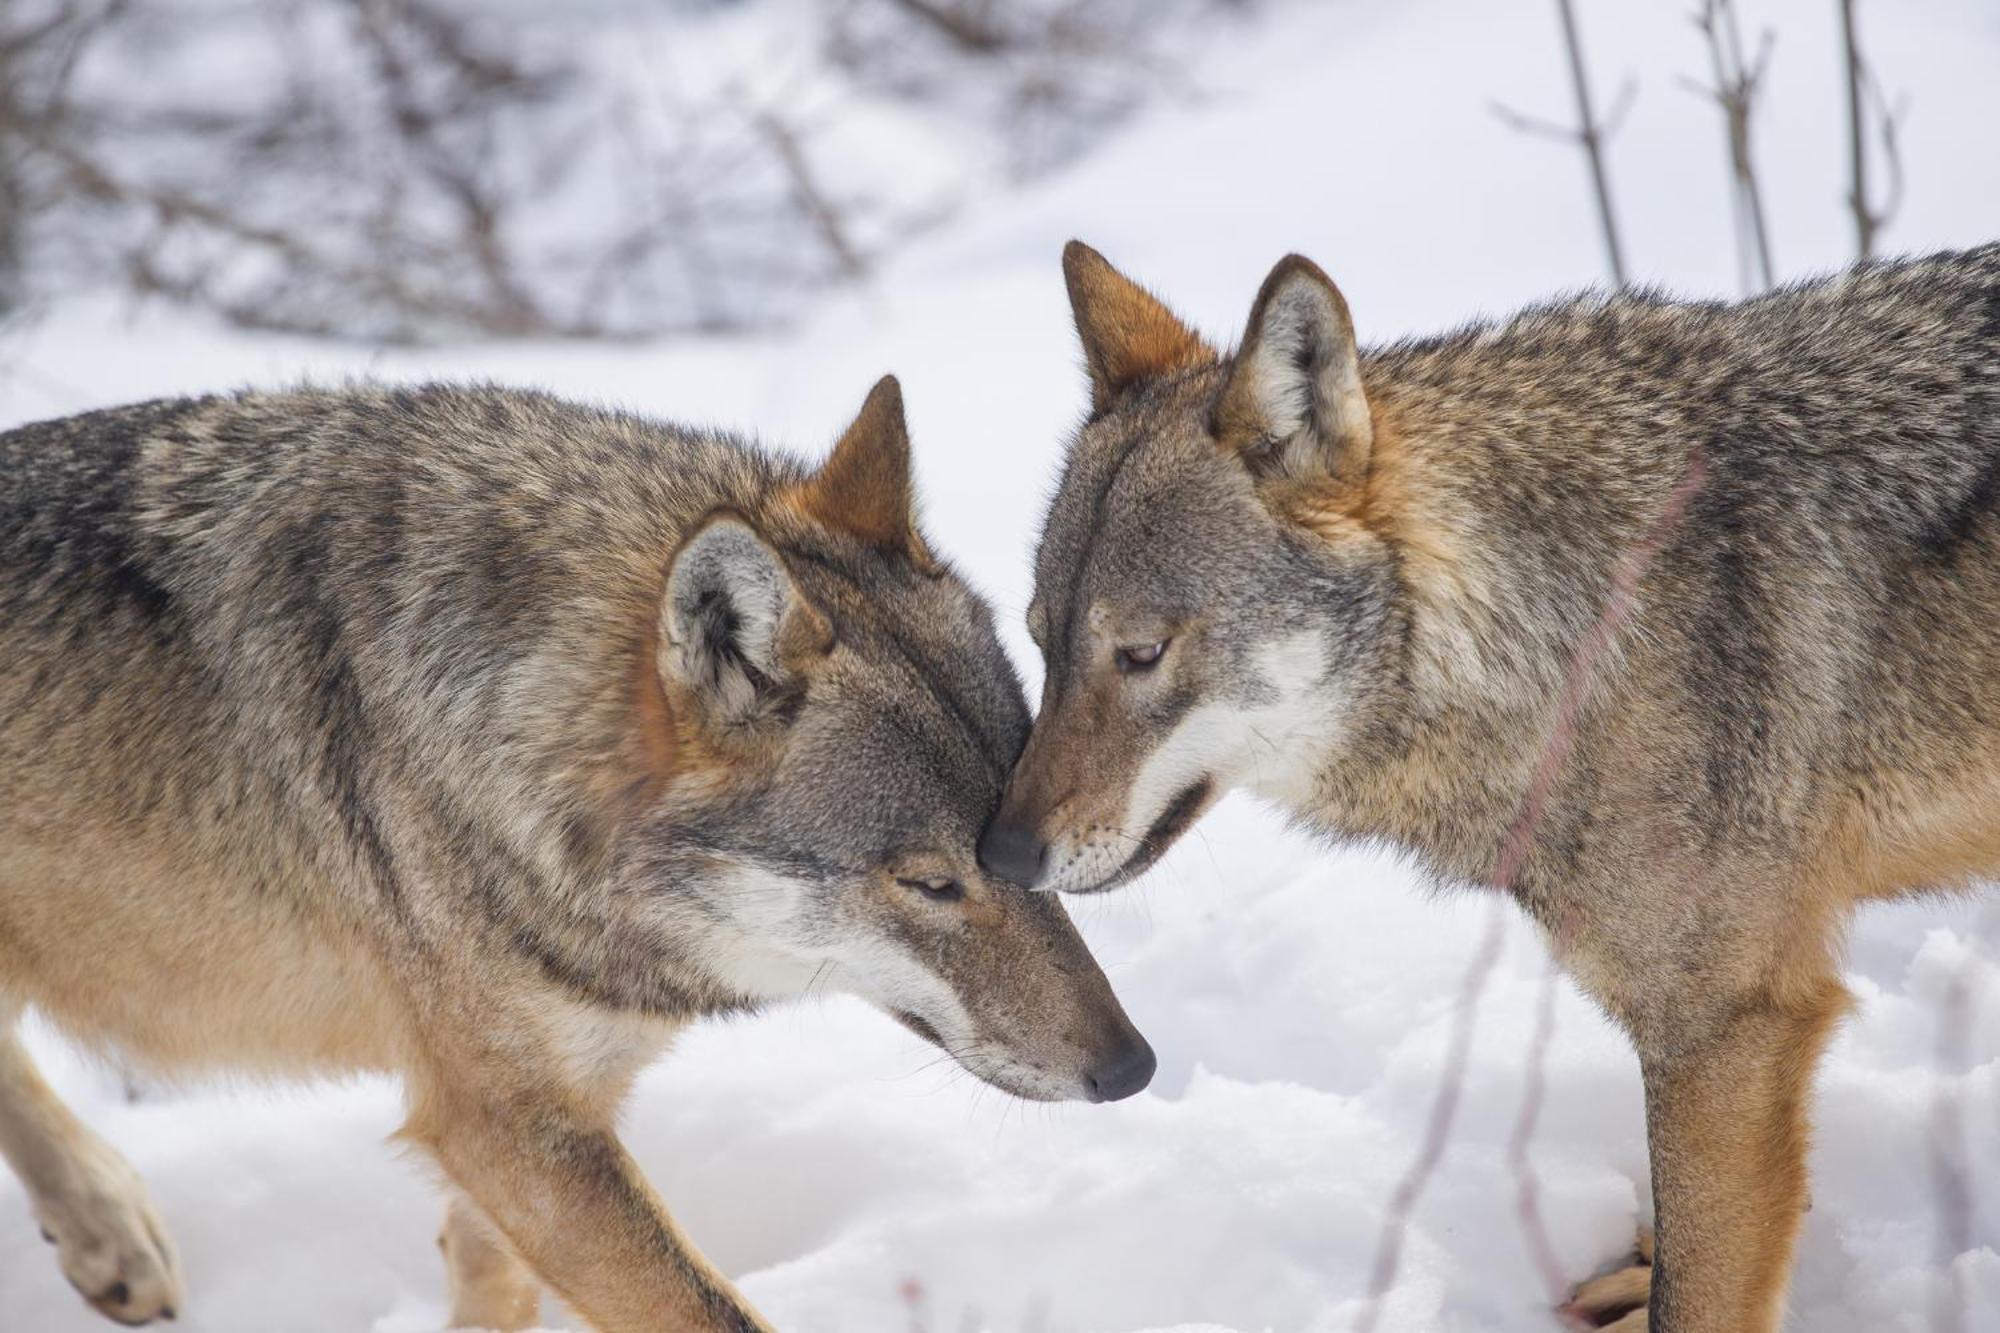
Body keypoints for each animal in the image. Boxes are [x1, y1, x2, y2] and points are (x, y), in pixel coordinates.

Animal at [0, 368, 1160, 1320]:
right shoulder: (508, 1128)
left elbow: (496, 1283)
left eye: (1018, 843)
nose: (1134, 1069)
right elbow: (706, 1311)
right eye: (929, 881)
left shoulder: (558, 1117)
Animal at [980, 241, 2000, 1328]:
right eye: (1041, 644)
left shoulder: (1728, 1028)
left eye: (1139, 653)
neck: (1577, 624)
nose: (996, 852)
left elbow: (1699, 1290)